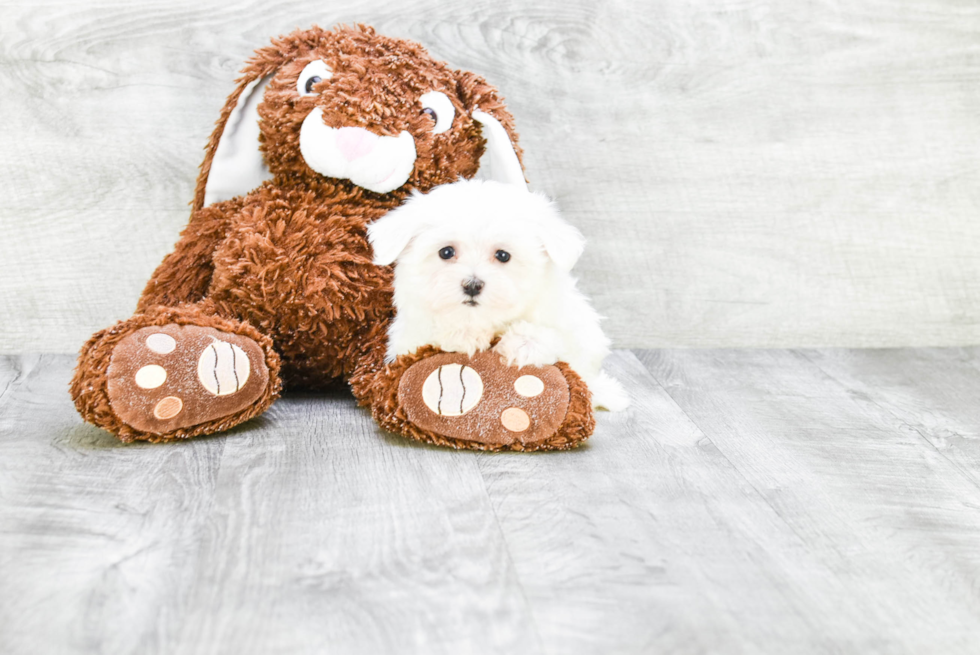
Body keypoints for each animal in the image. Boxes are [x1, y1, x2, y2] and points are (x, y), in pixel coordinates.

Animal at [366, 176, 628, 410]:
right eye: (446, 252)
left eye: (503, 255)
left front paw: (523, 343)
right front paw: (462, 335)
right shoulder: (408, 339)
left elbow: (564, 344)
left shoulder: (577, 327)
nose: (472, 285)